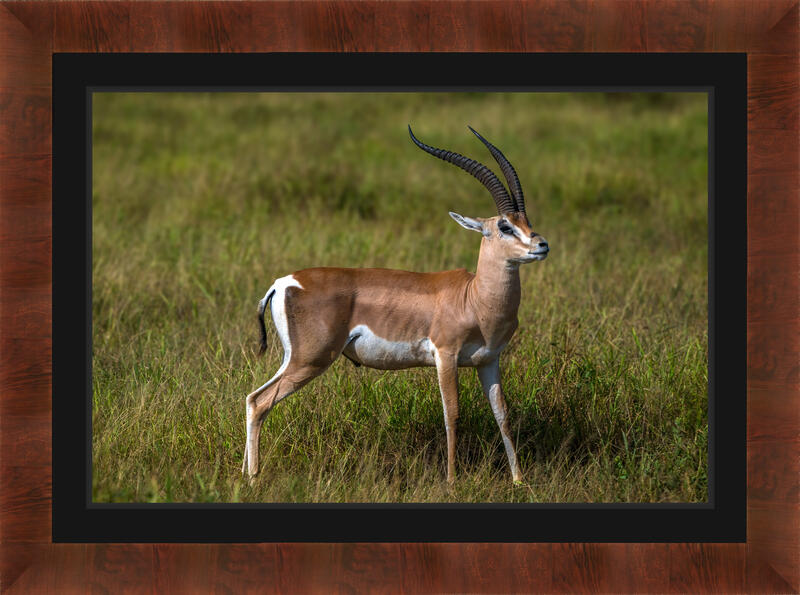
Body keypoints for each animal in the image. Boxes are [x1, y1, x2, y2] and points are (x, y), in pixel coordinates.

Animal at [243, 126, 549, 484]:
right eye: (504, 225)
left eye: (527, 222)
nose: (542, 245)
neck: (473, 297)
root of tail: (282, 282)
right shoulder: (446, 356)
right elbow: (452, 414)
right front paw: (451, 481)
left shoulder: (489, 360)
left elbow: (502, 414)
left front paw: (519, 481)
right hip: (310, 359)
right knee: (260, 402)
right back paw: (253, 478)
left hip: (294, 358)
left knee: (252, 399)